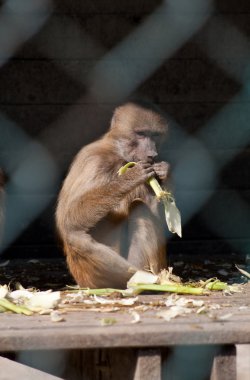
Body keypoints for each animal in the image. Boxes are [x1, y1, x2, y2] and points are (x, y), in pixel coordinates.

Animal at [56, 101, 171, 288]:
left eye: (155, 135)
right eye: (141, 134)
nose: (152, 154)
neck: (118, 156)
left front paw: (165, 172)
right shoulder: (92, 161)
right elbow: (68, 217)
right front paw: (129, 178)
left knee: (140, 208)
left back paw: (145, 279)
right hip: (88, 278)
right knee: (75, 235)